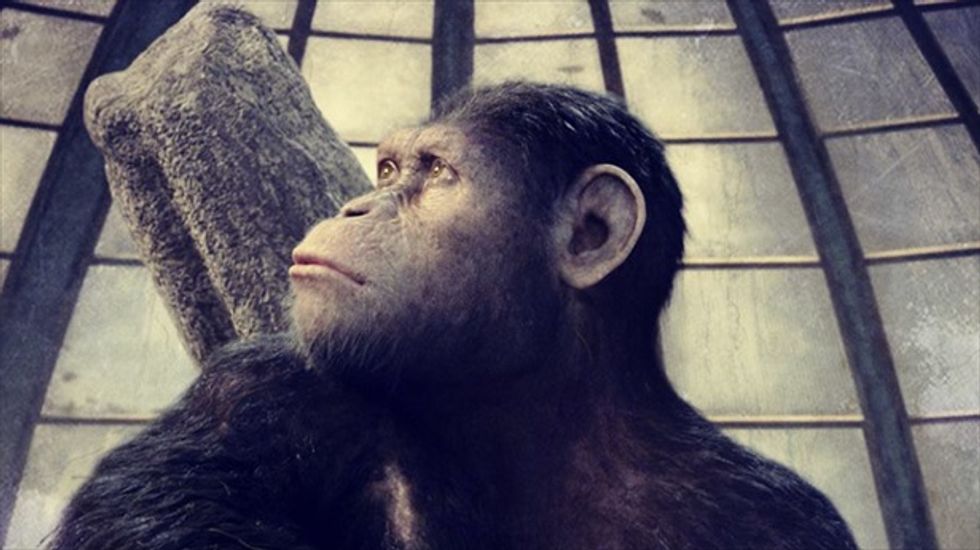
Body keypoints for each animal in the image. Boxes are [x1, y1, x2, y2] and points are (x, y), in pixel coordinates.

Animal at [51, 82, 857, 550]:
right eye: (386, 169)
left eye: (435, 172)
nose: (358, 206)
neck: (519, 417)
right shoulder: (253, 393)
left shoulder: (775, 516)